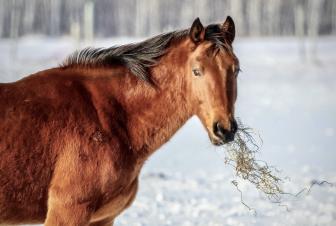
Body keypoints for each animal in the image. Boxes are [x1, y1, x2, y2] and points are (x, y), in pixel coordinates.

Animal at [1, 16, 240, 225]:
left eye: (236, 69)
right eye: (196, 71)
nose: (224, 129)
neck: (108, 117)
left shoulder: (103, 219)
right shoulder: (67, 212)